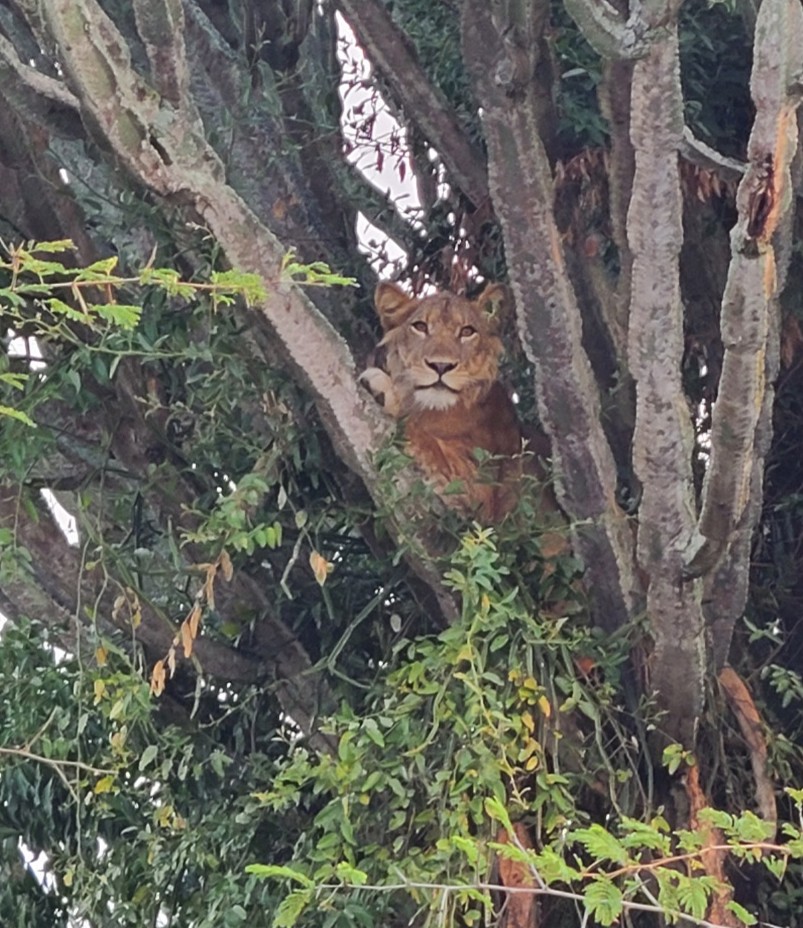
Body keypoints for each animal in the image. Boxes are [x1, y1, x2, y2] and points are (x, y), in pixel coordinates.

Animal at [360, 281, 549, 524]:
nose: (441, 366)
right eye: (420, 326)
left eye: (467, 331)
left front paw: (383, 389)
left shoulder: (480, 495)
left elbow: (425, 439)